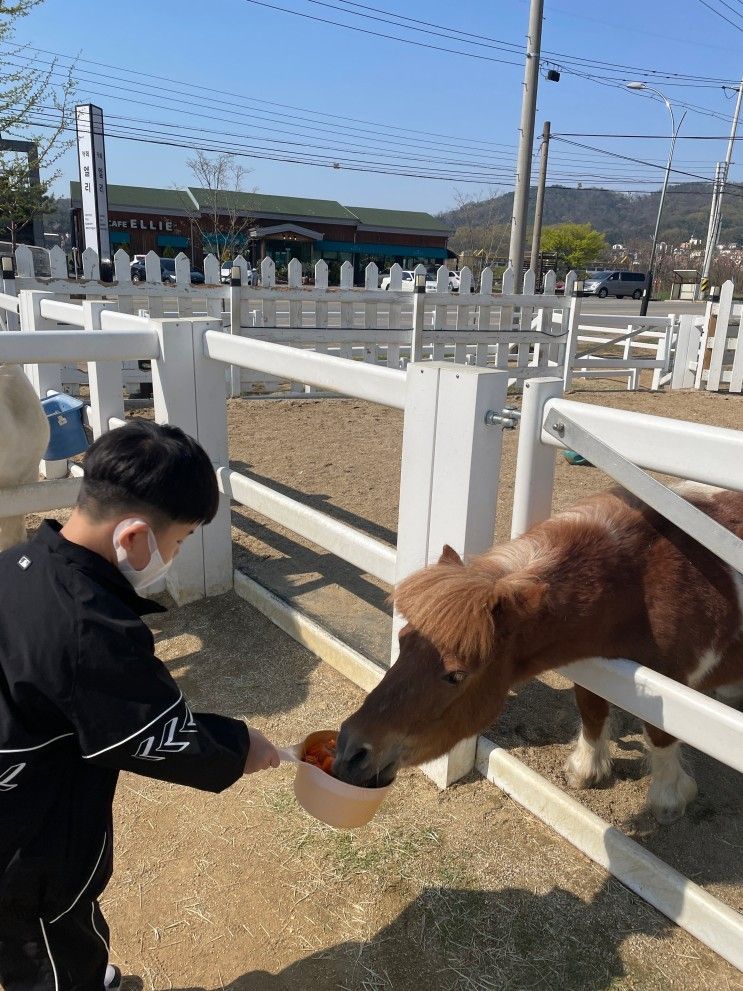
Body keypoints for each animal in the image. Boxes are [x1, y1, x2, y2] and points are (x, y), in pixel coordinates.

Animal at [338, 486, 743, 820]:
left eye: (456, 675)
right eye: (404, 639)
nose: (349, 750)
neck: (641, 582)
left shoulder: (673, 682)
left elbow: (660, 734)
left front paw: (669, 798)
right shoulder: (593, 665)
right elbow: (591, 709)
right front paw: (586, 770)